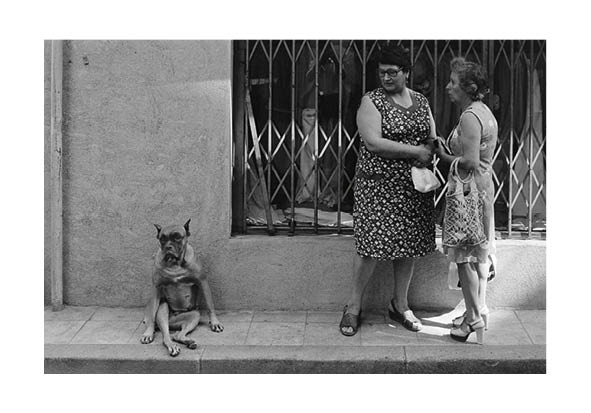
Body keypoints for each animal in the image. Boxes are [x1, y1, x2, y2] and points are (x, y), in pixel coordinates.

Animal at [140, 217, 223, 356]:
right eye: (162, 238)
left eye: (177, 237)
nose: (168, 247)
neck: (175, 264)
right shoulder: (156, 288)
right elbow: (152, 314)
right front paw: (148, 333)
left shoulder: (203, 281)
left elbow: (210, 304)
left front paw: (215, 322)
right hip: (163, 309)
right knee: (166, 336)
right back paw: (172, 345)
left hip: (194, 315)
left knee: (177, 334)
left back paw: (188, 341)